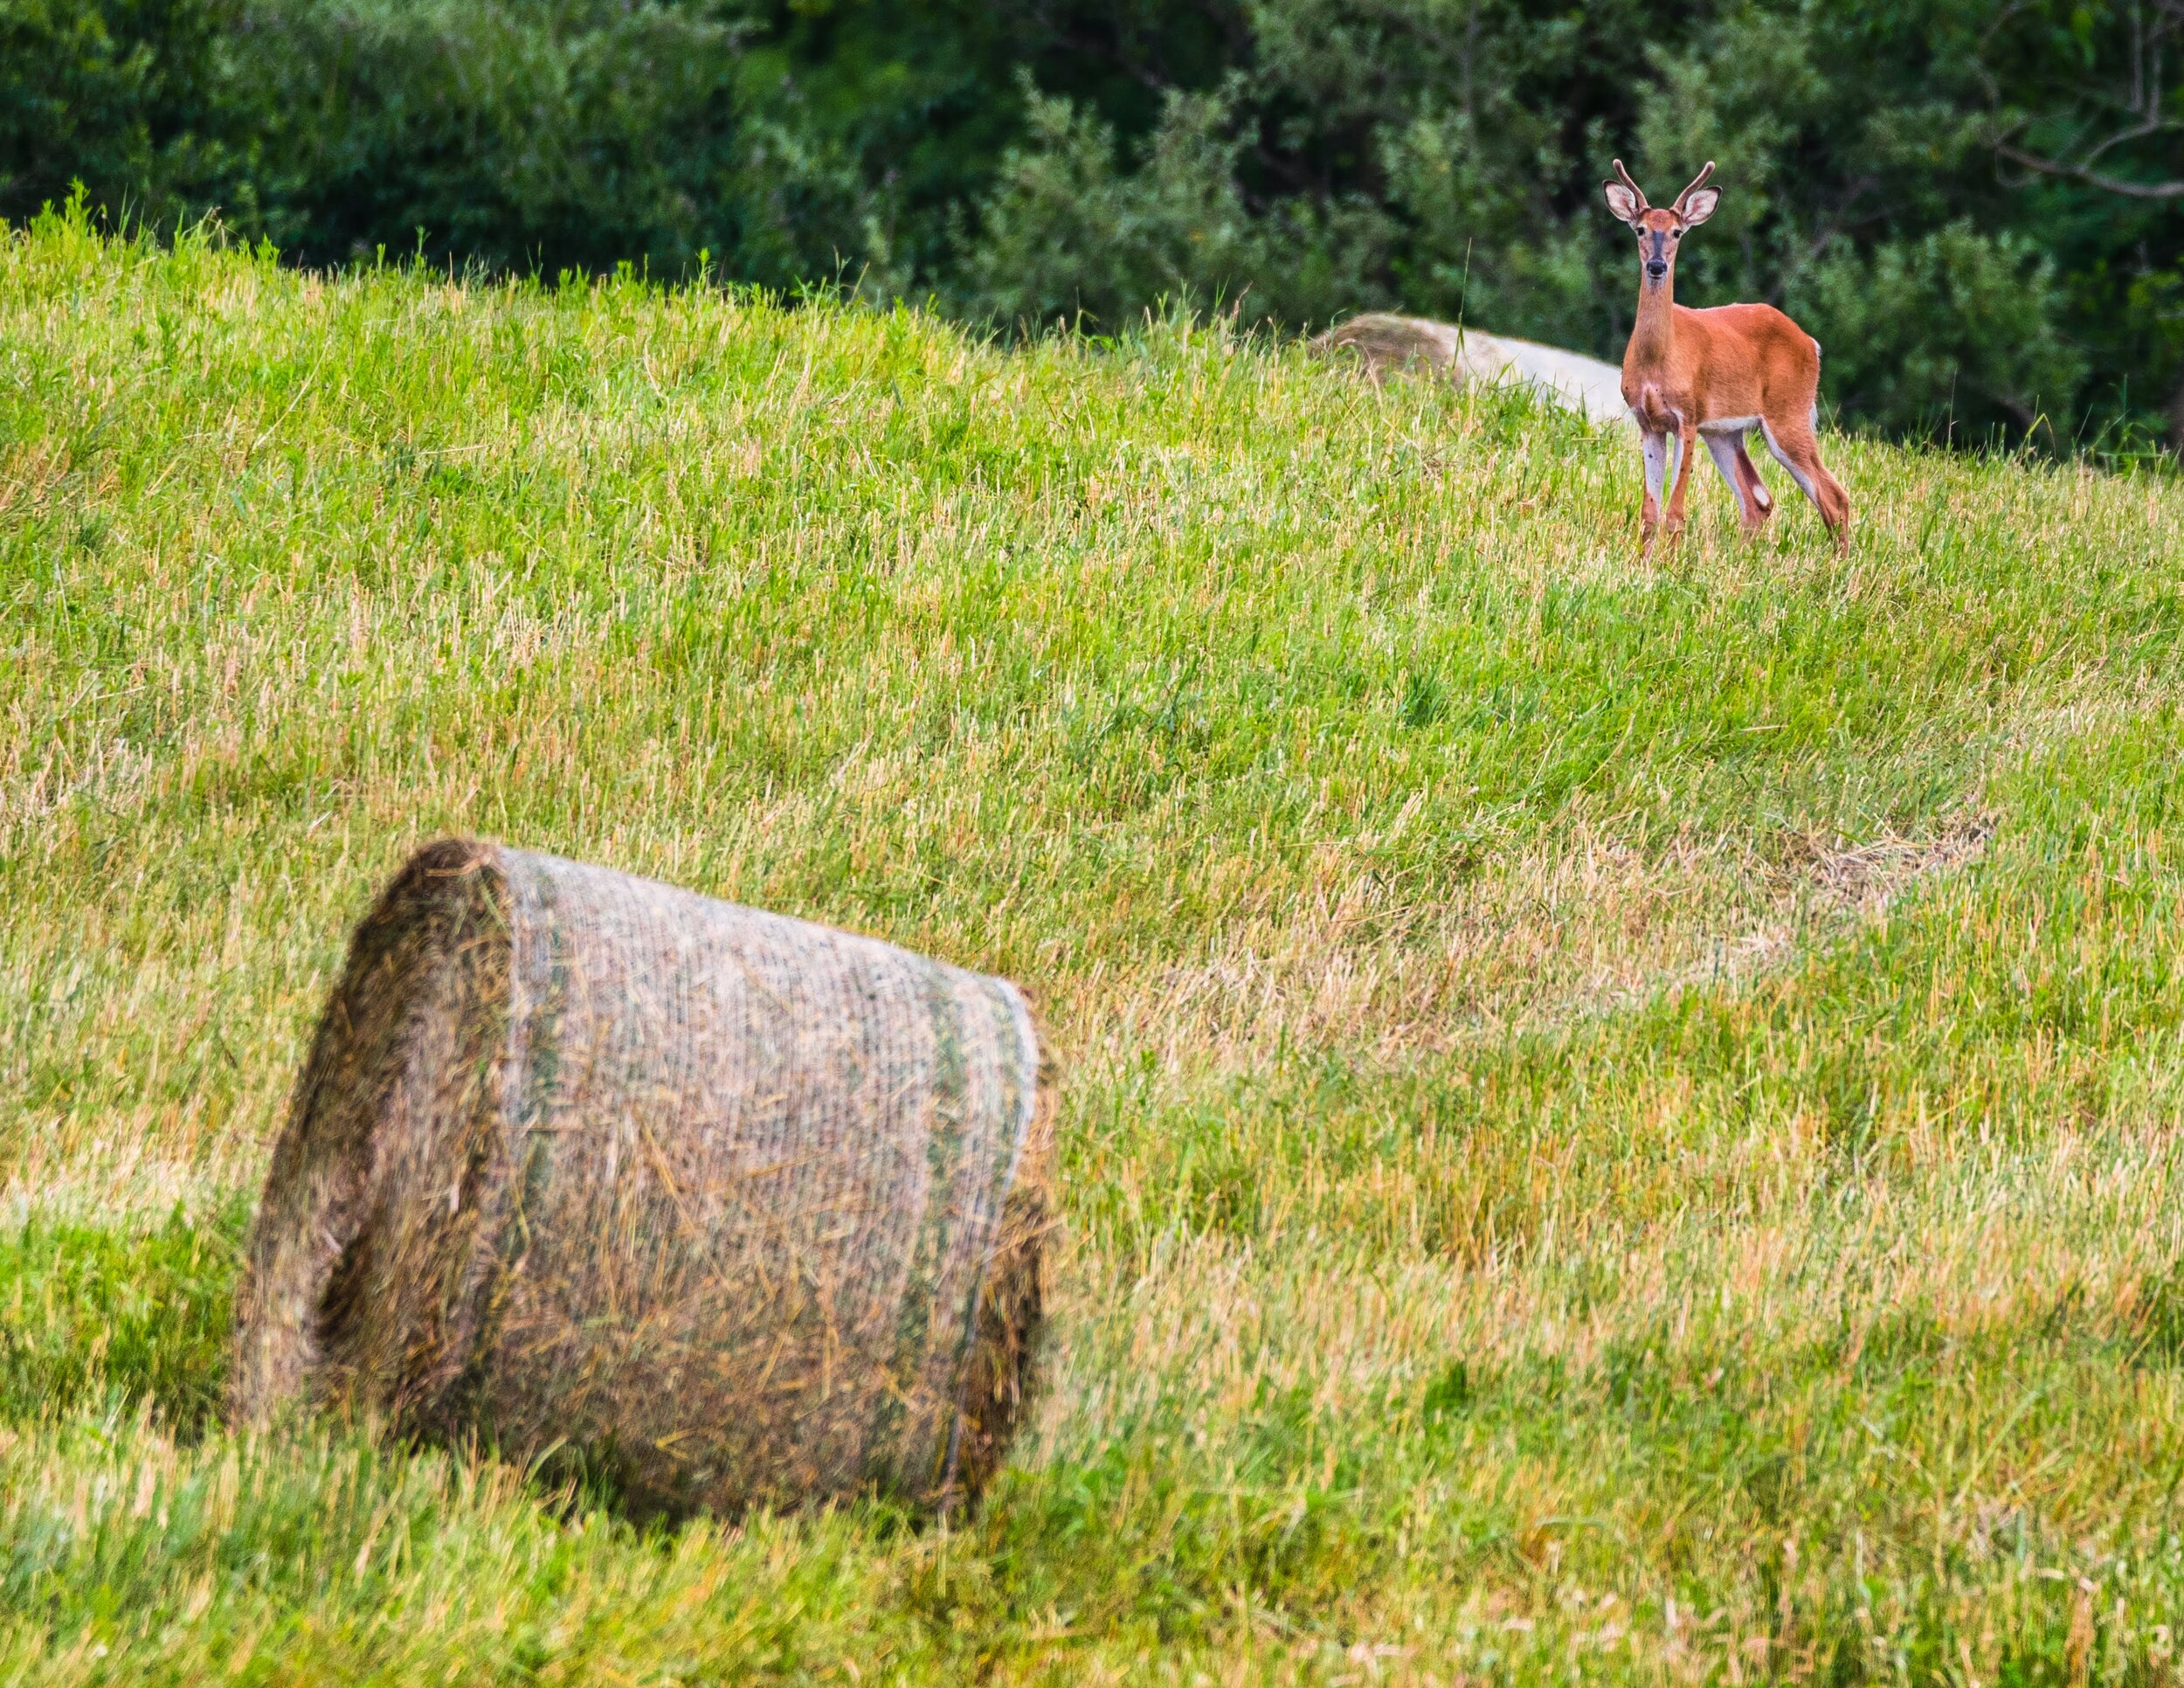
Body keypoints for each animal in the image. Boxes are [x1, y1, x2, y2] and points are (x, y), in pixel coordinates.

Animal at [1607, 163, 1843, 550]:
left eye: (1676, 232)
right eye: (1640, 229)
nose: (1656, 265)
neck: (1659, 361)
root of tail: (1811, 342)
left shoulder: (1687, 415)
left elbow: (1674, 513)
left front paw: (1667, 560)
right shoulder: (1648, 422)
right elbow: (1649, 514)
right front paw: (1644, 560)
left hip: (1788, 413)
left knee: (1834, 496)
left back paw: (1842, 560)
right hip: (1725, 432)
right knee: (1757, 500)